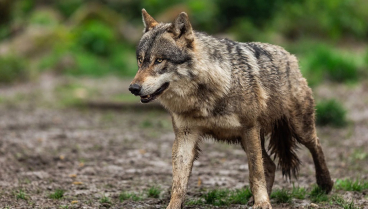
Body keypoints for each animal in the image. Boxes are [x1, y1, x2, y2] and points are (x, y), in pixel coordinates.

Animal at [129, 9, 334, 208]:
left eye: (159, 60)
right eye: (140, 60)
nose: (133, 88)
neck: (205, 94)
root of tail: (290, 56)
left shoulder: (249, 128)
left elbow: (255, 173)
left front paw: (262, 204)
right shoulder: (185, 136)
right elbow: (178, 183)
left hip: (297, 129)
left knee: (316, 144)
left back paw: (325, 183)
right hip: (246, 140)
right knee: (270, 165)